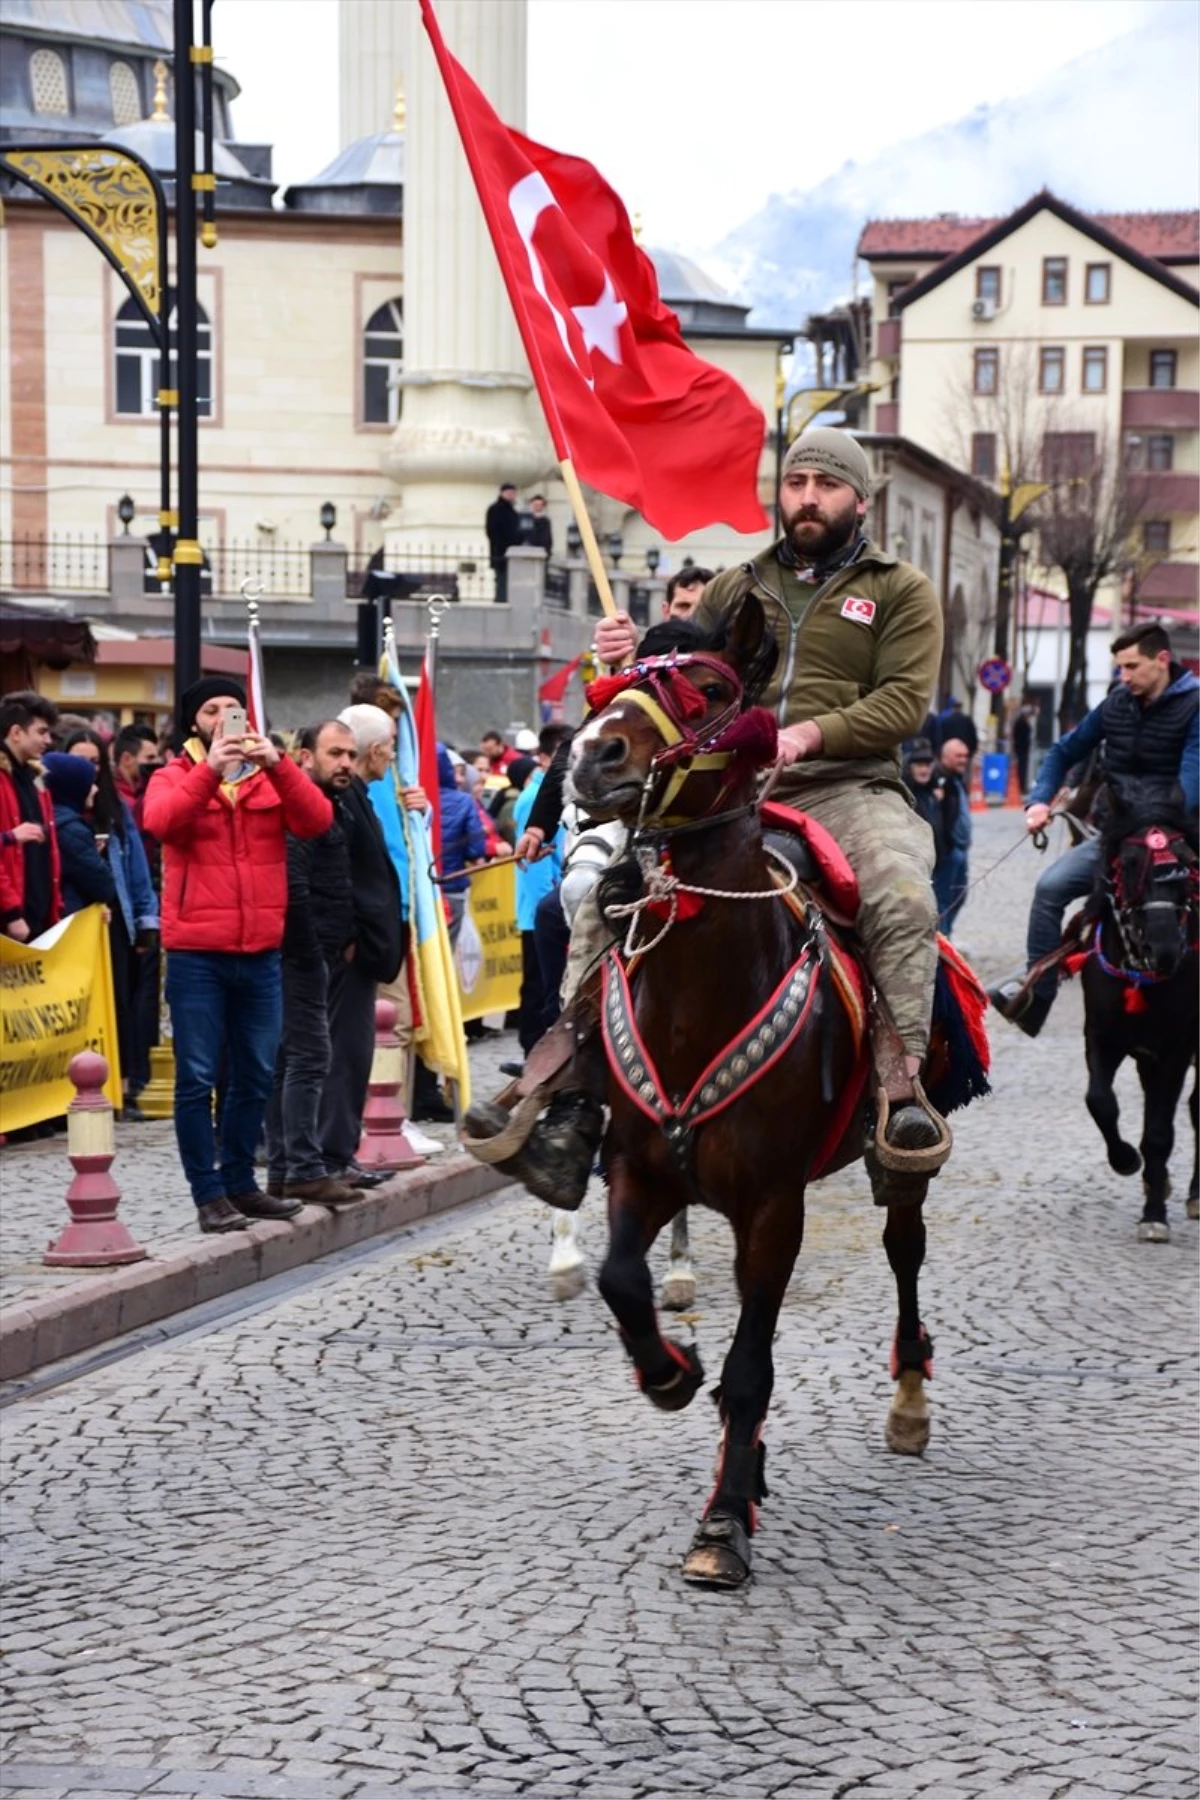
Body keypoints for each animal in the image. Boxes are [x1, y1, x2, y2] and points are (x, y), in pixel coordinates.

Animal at [568, 594, 935, 1591]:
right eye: (614, 682)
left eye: (712, 690)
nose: (591, 755)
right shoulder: (641, 1173)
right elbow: (622, 1282)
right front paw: (668, 1374)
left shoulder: (773, 1208)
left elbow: (752, 1366)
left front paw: (723, 1523)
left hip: (900, 1156)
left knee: (905, 1251)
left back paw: (909, 1400)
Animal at [1079, 802, 1200, 1238]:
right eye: (1130, 863)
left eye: (1188, 863)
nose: (1164, 948)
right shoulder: (1100, 1037)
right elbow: (1099, 1101)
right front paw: (1127, 1159)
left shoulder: (1177, 1049)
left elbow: (1160, 1132)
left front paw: (1153, 1216)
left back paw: (1193, 1194)